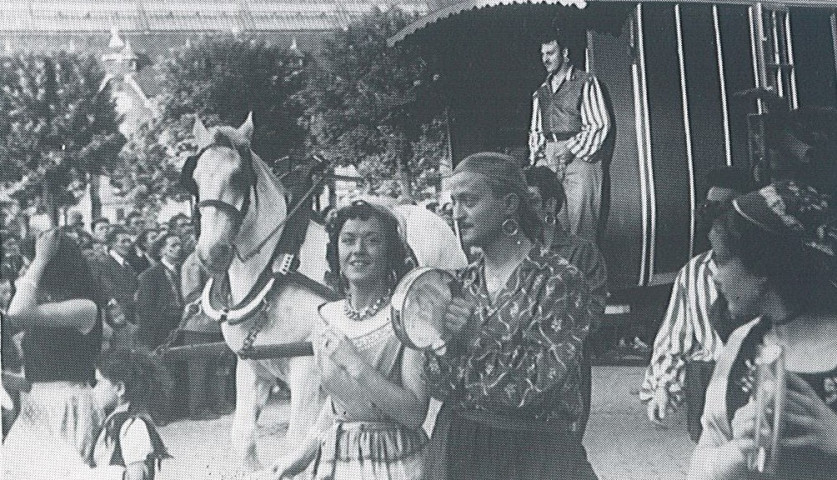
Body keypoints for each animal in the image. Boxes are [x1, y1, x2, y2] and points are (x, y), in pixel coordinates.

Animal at [185, 114, 466, 470]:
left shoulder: (307, 368)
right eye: (195, 179)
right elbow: (244, 438)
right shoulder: (250, 367)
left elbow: (296, 439)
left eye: (238, 176)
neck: (273, 273)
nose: (212, 253)